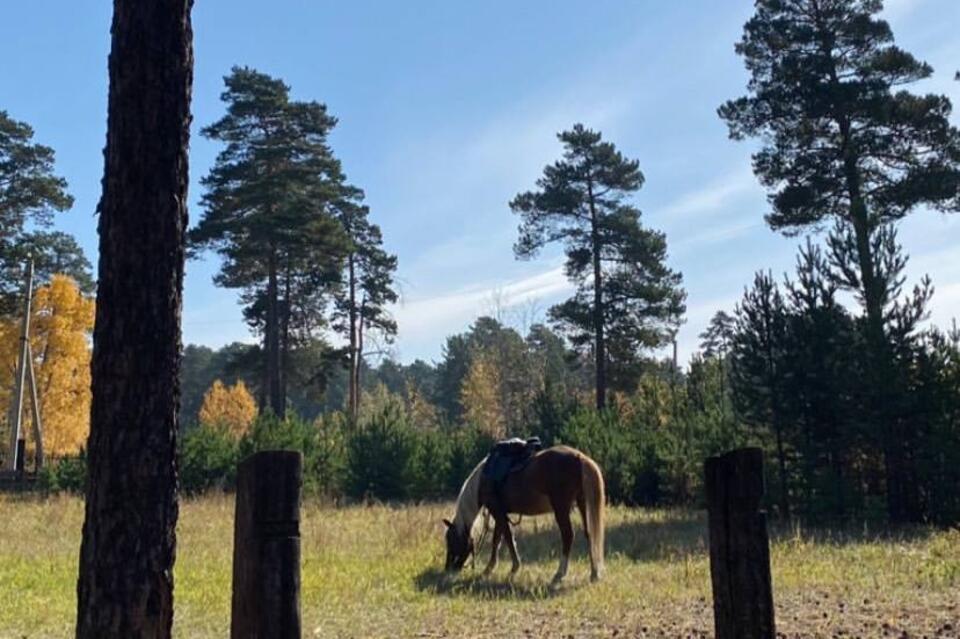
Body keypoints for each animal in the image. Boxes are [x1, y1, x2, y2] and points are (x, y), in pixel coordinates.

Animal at [444, 444, 608, 584]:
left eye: (451, 541)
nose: (448, 569)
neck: (483, 480)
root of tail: (579, 457)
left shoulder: (497, 511)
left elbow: (507, 538)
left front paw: (514, 569)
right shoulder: (500, 513)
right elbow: (498, 539)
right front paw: (488, 570)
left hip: (561, 508)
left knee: (568, 536)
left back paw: (559, 574)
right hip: (582, 503)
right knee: (589, 533)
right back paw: (594, 573)